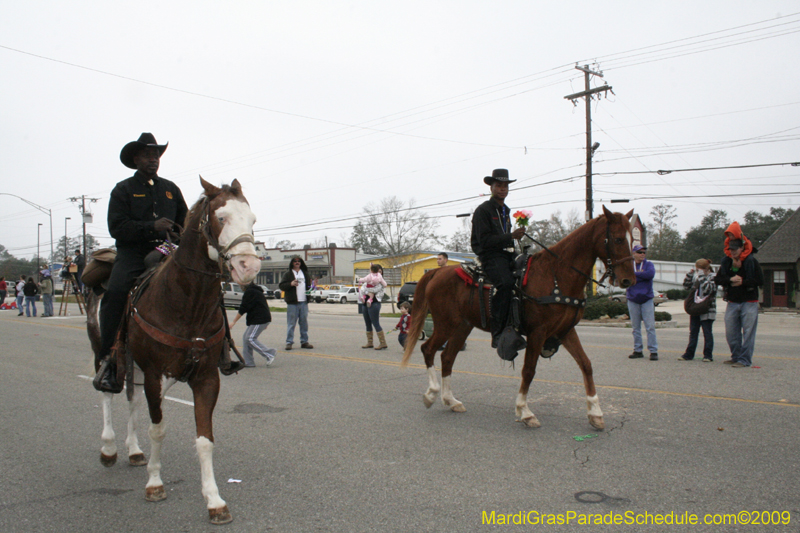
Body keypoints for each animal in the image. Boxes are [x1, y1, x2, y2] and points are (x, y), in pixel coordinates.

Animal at [88, 178, 260, 524]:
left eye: (252, 219)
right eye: (221, 217)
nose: (248, 266)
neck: (185, 303)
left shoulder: (206, 378)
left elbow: (204, 440)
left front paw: (214, 500)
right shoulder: (156, 374)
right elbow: (158, 429)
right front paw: (155, 483)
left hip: (133, 365)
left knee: (131, 399)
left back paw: (133, 450)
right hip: (105, 353)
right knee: (107, 395)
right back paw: (110, 448)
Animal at [400, 206, 636, 430]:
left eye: (633, 239)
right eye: (617, 239)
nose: (629, 280)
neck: (556, 275)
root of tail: (436, 272)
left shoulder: (565, 331)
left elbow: (586, 364)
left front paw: (595, 413)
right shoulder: (537, 332)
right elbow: (529, 370)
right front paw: (525, 412)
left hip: (462, 327)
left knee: (447, 357)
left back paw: (451, 400)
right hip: (445, 324)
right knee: (428, 349)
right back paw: (431, 394)